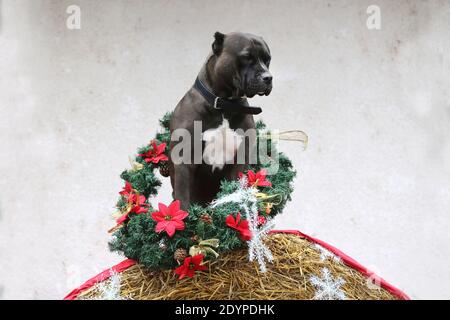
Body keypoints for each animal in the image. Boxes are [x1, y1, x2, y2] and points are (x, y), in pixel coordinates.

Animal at [170, 31, 270, 209]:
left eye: (268, 60)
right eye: (246, 57)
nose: (268, 77)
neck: (225, 105)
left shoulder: (240, 160)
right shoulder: (184, 161)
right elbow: (184, 196)